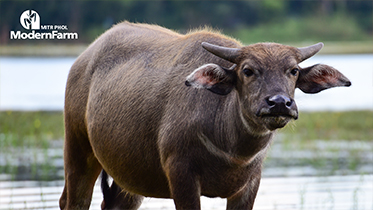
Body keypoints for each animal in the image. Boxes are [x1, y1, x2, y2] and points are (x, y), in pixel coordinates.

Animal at [58, 21, 348, 210]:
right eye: (248, 70)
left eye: (293, 70)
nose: (279, 103)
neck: (232, 151)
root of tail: (82, 60)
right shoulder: (181, 174)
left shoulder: (250, 184)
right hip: (78, 146)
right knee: (73, 201)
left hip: (129, 177)